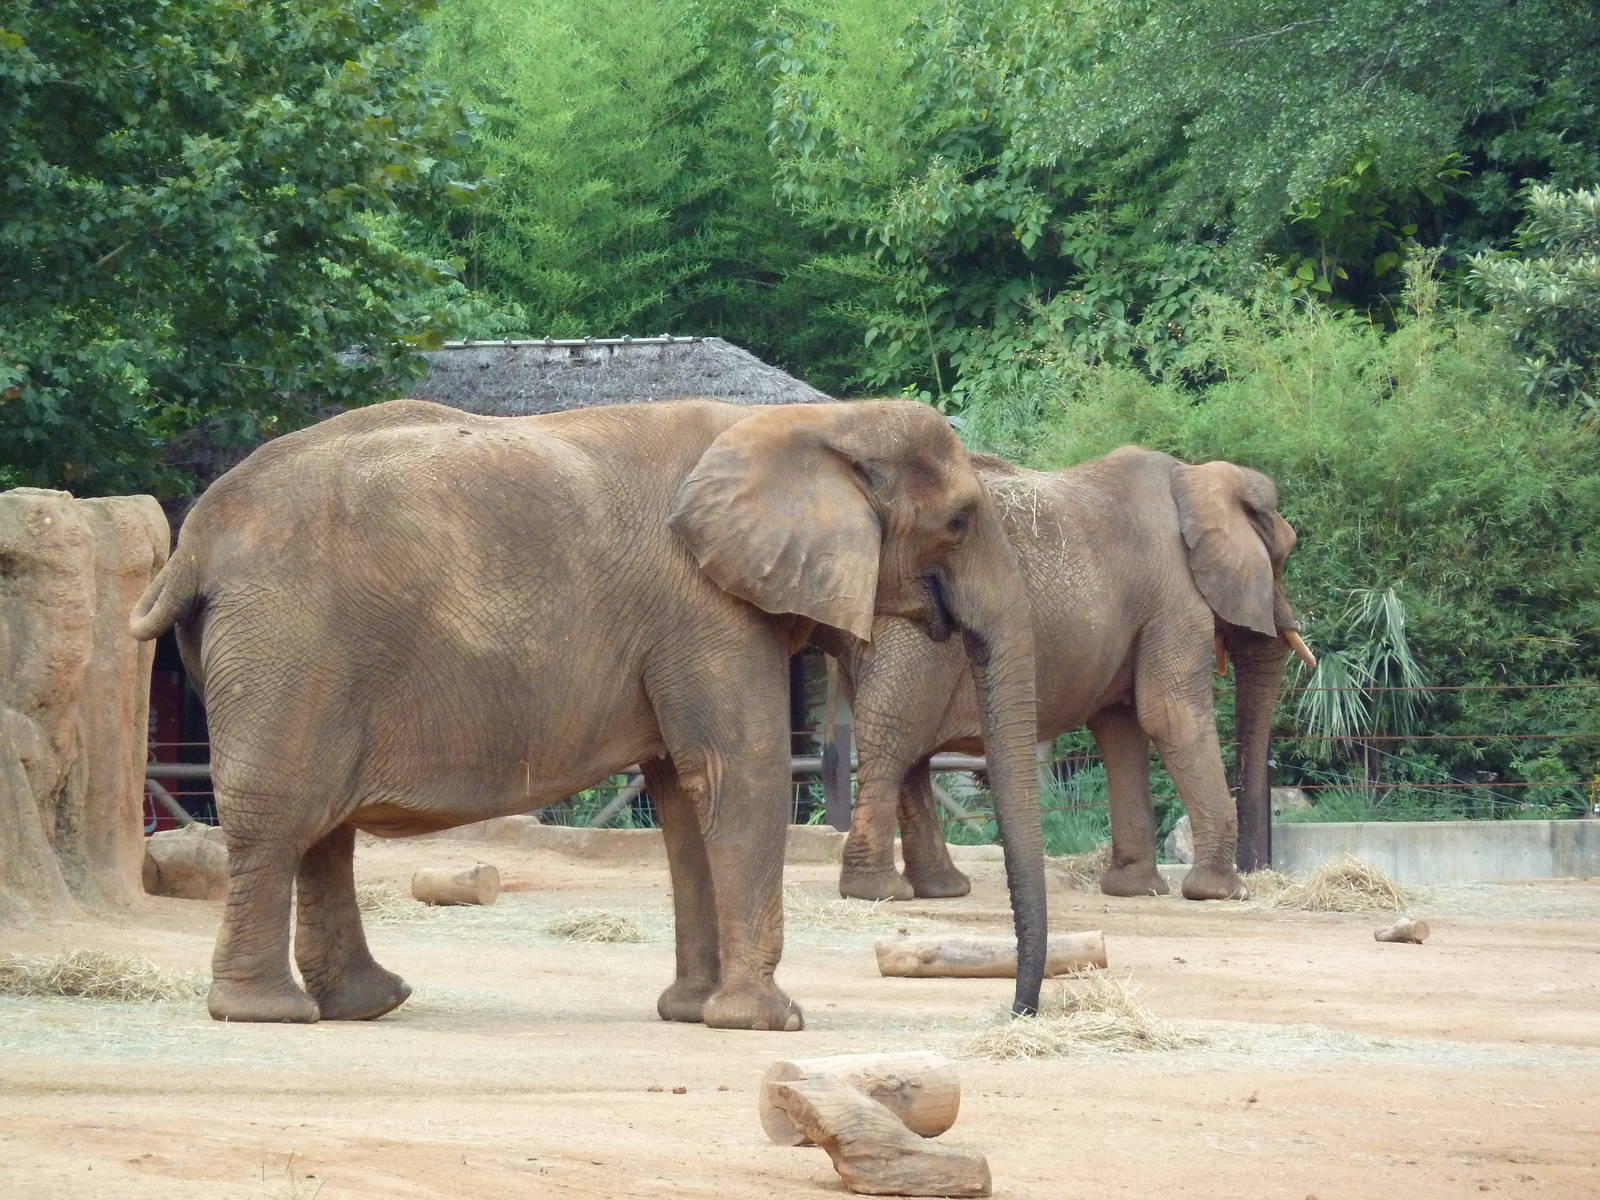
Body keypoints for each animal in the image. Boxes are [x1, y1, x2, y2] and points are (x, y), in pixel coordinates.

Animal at [128, 397, 1048, 1028]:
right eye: (960, 520)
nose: (1015, 1011)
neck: (815, 423)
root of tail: (193, 540)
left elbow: (682, 795)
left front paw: (691, 1012)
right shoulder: (705, 607)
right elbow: (735, 774)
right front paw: (765, 1022)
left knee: (321, 829)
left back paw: (370, 1003)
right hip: (286, 645)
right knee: (282, 819)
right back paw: (269, 1013)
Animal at [833, 445, 1312, 904]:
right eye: (1285, 556)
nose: (1255, 872)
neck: (1192, 476)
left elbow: (1122, 728)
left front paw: (1136, 889)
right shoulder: (1174, 597)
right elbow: (1168, 714)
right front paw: (1221, 893)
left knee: (904, 749)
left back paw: (939, 889)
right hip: (911, 632)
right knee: (894, 741)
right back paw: (879, 891)